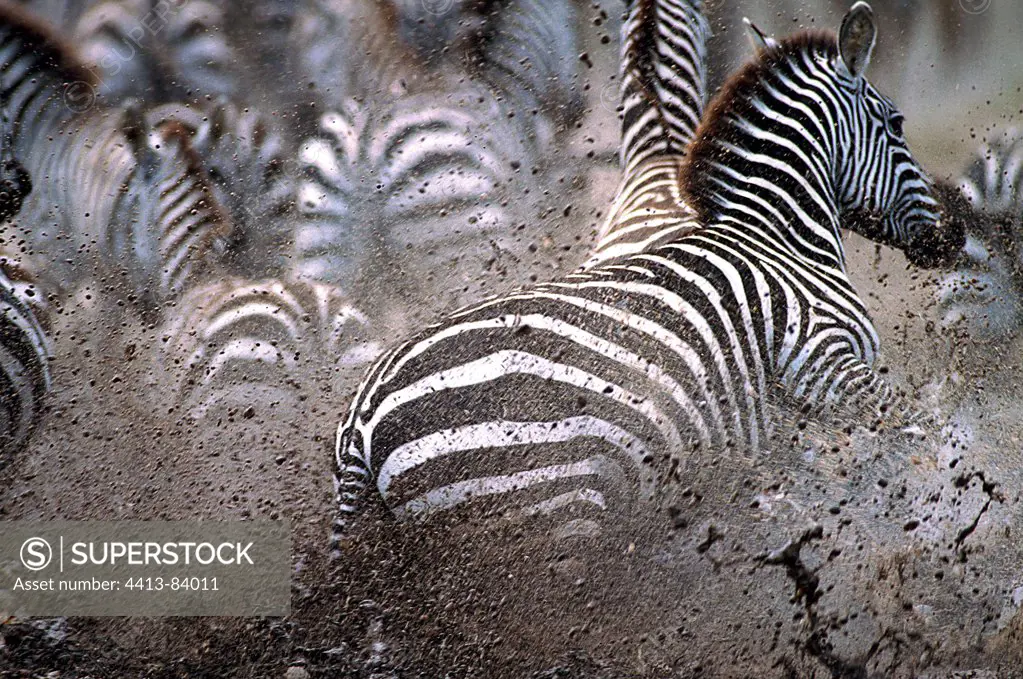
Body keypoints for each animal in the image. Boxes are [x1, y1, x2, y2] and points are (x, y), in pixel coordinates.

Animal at [331, 2, 961, 548]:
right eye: (897, 123)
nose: (950, 239)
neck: (778, 234)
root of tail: (359, 425)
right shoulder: (824, 365)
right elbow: (921, 428)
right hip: (551, 511)